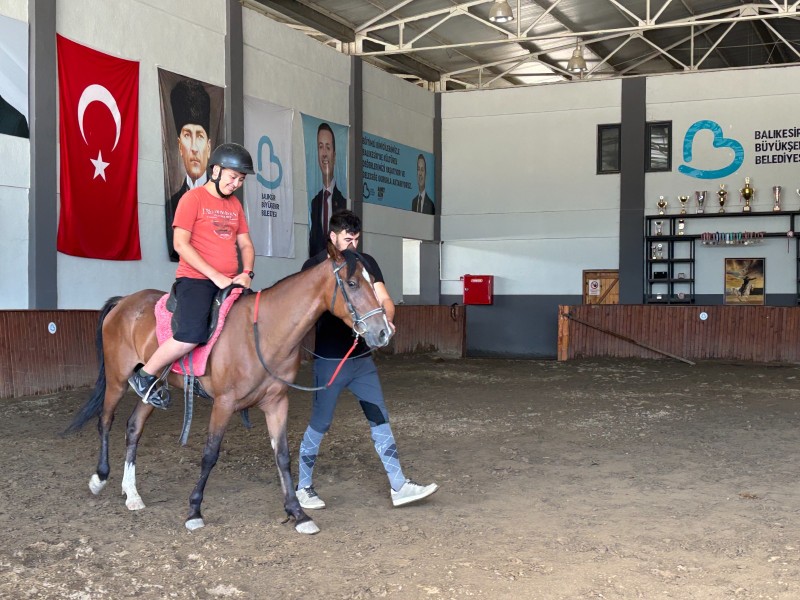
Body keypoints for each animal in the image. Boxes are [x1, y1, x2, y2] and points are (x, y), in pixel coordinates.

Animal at [65, 244, 392, 534]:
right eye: (352, 283)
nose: (383, 332)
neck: (262, 332)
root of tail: (124, 302)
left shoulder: (276, 402)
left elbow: (283, 456)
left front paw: (297, 514)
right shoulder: (224, 403)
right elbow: (210, 453)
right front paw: (194, 511)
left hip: (151, 388)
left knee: (133, 428)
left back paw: (131, 493)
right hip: (117, 379)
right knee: (105, 421)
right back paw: (100, 478)